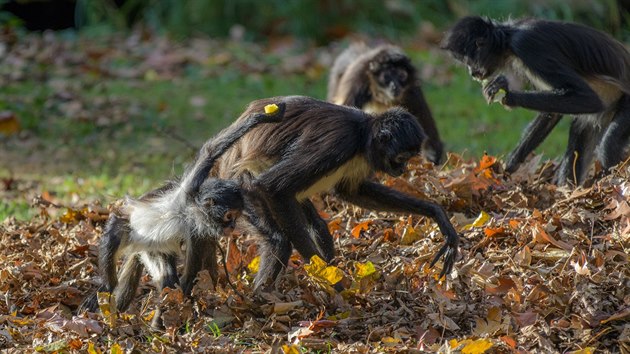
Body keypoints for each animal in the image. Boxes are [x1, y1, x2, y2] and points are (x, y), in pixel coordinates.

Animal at [190, 95, 462, 290]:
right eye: (402, 158)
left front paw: (436, 213)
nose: (403, 169)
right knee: (279, 238)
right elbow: (272, 187)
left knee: (317, 225)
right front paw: (329, 279)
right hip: (241, 190)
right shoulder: (339, 142)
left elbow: (351, 191)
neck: (362, 131)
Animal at [442, 15, 630, 185]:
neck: (508, 37)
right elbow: (552, 113)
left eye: (468, 61)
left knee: (607, 147)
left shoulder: (526, 45)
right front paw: (509, 166)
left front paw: (508, 96)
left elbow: (588, 99)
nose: (472, 73)